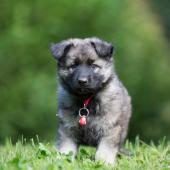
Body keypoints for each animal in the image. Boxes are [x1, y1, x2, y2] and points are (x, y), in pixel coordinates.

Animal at [50, 37, 131, 165]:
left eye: (93, 66)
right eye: (73, 65)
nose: (82, 81)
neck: (86, 100)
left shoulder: (110, 129)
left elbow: (105, 150)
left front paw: (104, 162)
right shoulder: (67, 130)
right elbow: (67, 149)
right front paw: (63, 161)